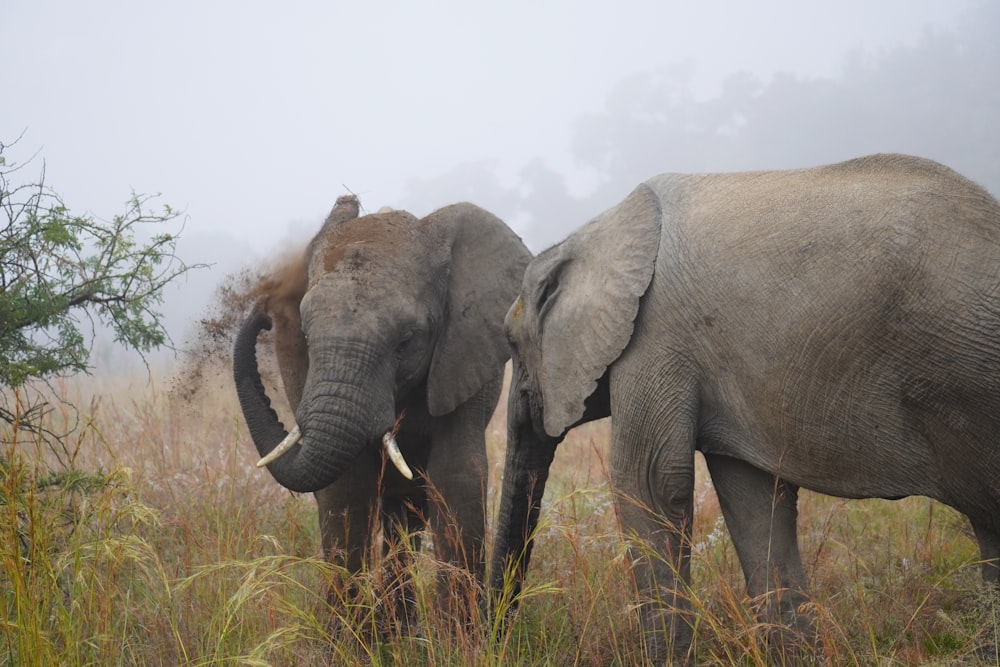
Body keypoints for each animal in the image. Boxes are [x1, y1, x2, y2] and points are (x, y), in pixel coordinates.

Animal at [233, 193, 532, 636]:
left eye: (406, 340)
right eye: (304, 334)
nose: (264, 314)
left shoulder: (462, 352)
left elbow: (457, 475)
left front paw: (459, 640)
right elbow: (346, 488)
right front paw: (348, 641)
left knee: (405, 510)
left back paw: (403, 631)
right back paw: (393, 631)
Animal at [488, 155, 1000, 664]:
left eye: (510, 342)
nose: (493, 636)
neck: (597, 231)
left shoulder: (654, 335)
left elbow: (651, 485)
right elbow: (754, 502)